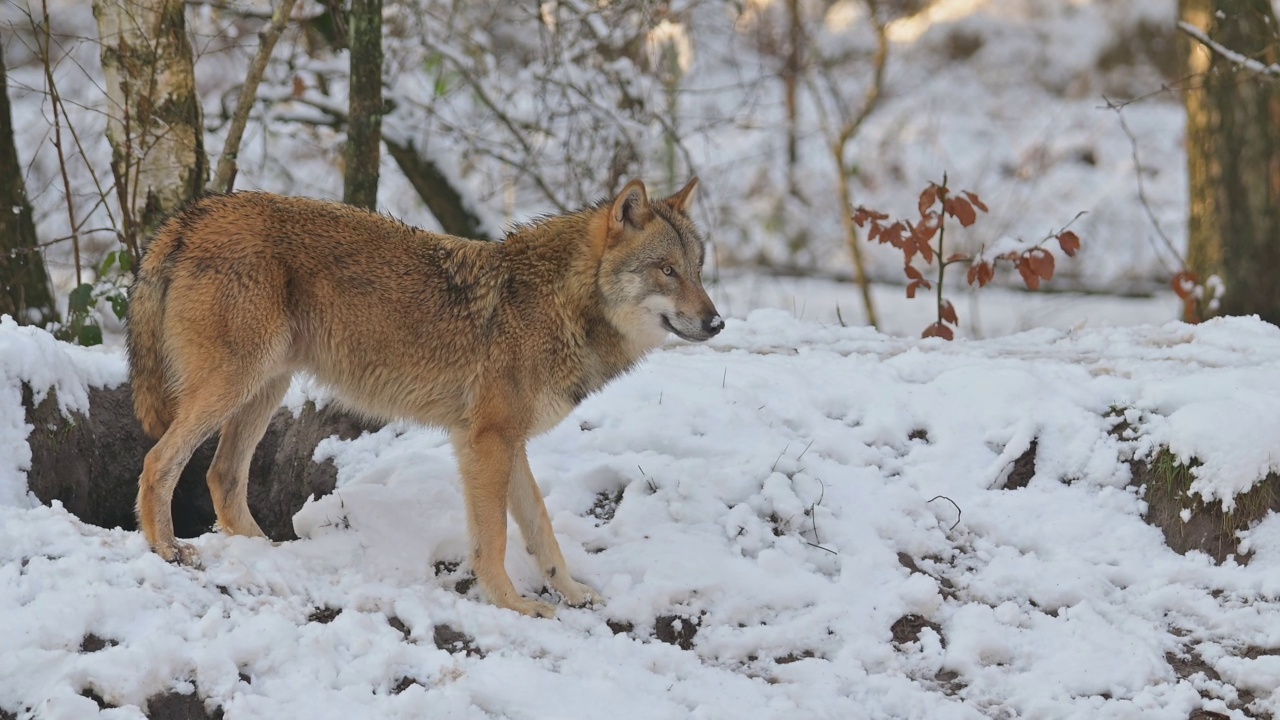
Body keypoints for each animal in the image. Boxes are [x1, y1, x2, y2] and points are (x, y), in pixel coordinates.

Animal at [129, 176, 727, 614]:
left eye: (698, 271)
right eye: (666, 271)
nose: (717, 322)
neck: (561, 304)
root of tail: (194, 214)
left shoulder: (508, 445)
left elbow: (543, 533)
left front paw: (574, 595)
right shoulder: (486, 442)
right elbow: (495, 539)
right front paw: (513, 606)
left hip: (264, 389)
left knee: (222, 476)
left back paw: (266, 554)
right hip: (234, 385)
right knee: (159, 460)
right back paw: (166, 549)